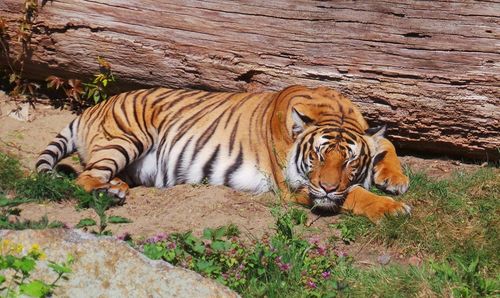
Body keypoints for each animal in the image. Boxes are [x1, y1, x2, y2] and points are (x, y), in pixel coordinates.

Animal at [35, 85, 410, 222]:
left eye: (349, 160)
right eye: (317, 156)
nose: (329, 186)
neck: (335, 112)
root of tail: (93, 107)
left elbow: (386, 143)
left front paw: (396, 179)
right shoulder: (298, 187)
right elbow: (354, 195)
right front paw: (392, 208)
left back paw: (116, 188)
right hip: (127, 136)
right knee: (84, 178)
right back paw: (110, 193)